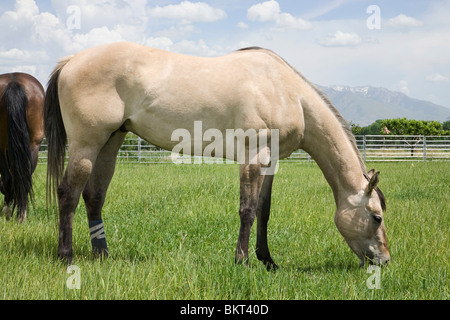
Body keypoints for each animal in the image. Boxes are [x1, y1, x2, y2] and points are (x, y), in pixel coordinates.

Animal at [46, 42, 390, 268]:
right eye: (376, 217)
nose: (384, 260)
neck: (284, 92)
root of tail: (71, 59)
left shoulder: (271, 161)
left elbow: (264, 210)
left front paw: (268, 261)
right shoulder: (252, 156)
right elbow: (247, 210)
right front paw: (243, 261)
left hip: (110, 142)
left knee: (94, 196)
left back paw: (102, 255)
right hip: (87, 144)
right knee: (68, 193)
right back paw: (66, 256)